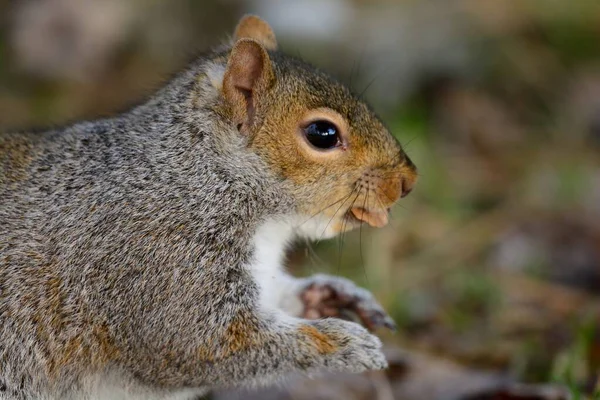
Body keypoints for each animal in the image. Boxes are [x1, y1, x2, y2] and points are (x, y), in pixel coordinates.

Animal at [0, 14, 418, 400]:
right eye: (323, 134)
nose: (408, 181)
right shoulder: (159, 257)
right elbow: (201, 344)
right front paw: (342, 341)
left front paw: (331, 295)